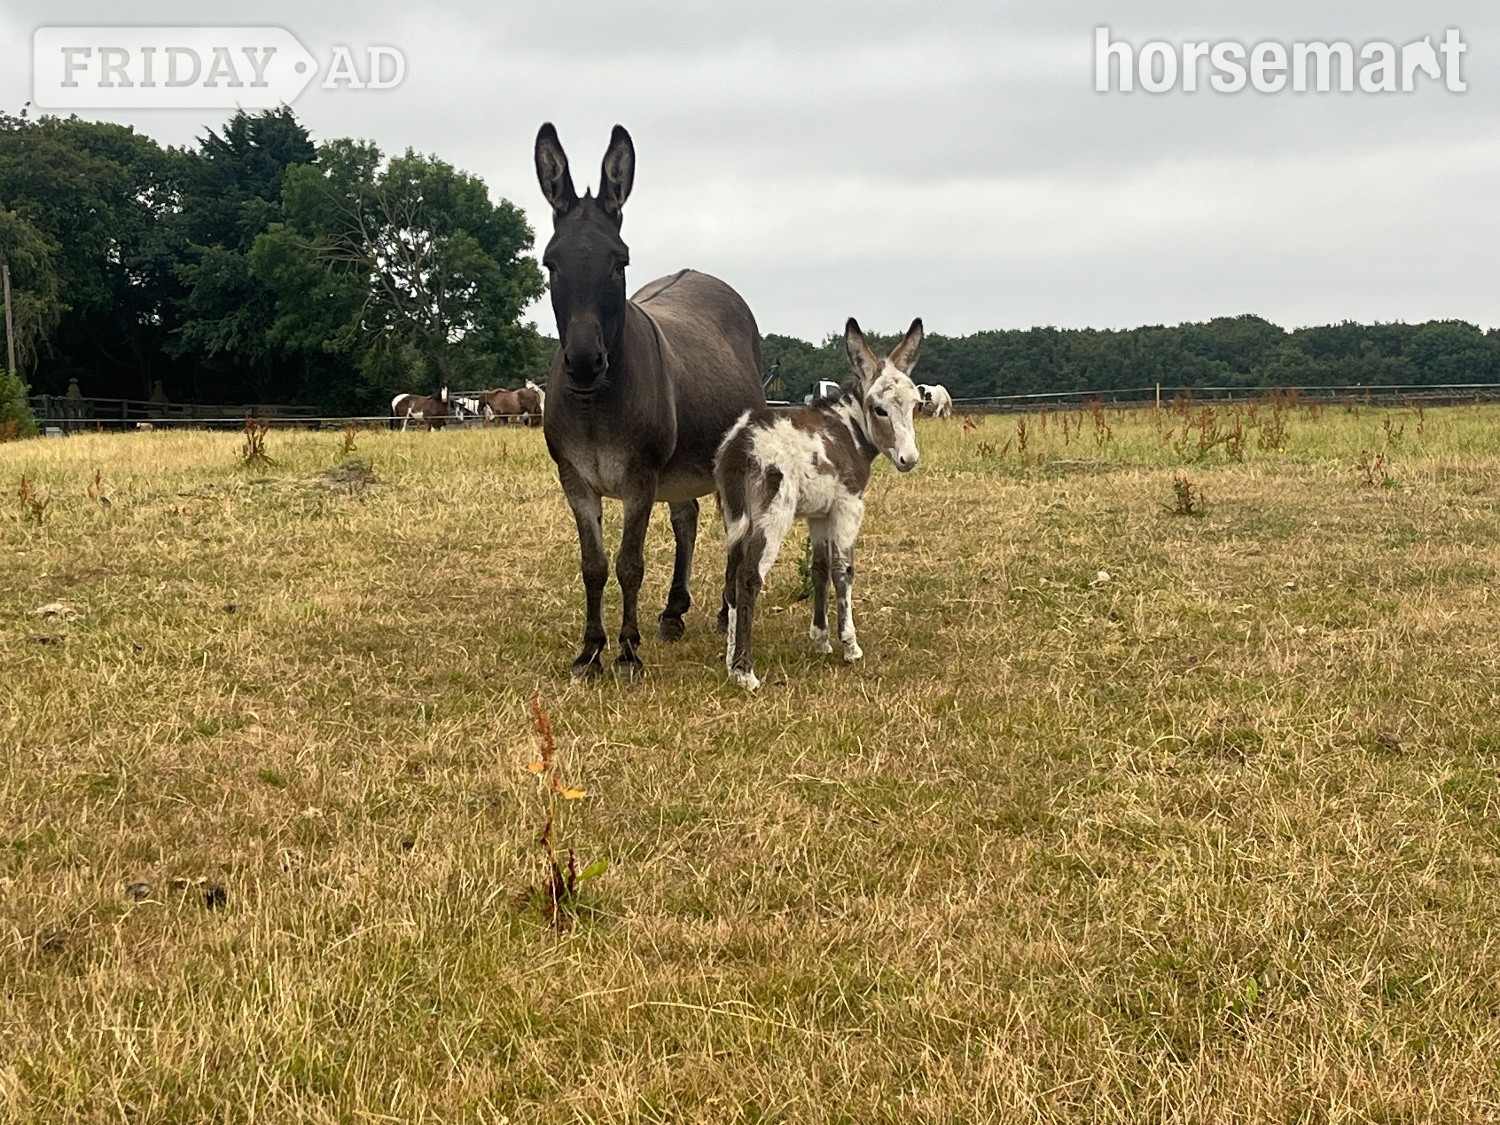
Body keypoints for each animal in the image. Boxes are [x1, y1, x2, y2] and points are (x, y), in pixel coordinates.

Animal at [534, 122, 766, 678]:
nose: (584, 363)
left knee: (733, 526)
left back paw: (726, 610)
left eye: (620, 263)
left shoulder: (639, 476)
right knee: (687, 520)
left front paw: (626, 651)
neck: (595, 407)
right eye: (551, 263)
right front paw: (589, 651)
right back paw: (674, 612)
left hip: (724, 457)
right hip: (681, 467)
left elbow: (629, 564)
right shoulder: (575, 477)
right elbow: (594, 565)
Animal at [715, 317, 924, 690]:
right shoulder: (849, 505)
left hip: (734, 517)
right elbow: (843, 570)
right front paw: (849, 645)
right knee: (749, 577)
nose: (909, 459)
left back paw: (729, 661)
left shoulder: (819, 514)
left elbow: (819, 568)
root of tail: (741, 444)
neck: (848, 429)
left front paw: (821, 639)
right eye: (880, 409)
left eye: (917, 406)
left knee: (730, 576)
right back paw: (744, 671)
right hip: (773, 516)